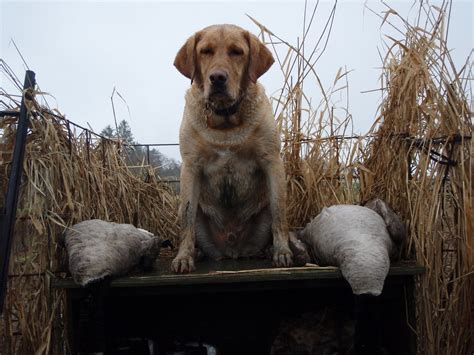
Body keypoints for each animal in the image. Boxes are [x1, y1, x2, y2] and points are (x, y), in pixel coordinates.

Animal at [173, 25, 292, 272]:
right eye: (205, 51)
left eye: (237, 52)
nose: (217, 78)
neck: (225, 121)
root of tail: (231, 250)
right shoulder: (190, 167)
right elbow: (186, 221)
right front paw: (184, 257)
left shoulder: (272, 161)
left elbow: (280, 214)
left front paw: (282, 252)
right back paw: (197, 253)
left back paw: (268, 250)